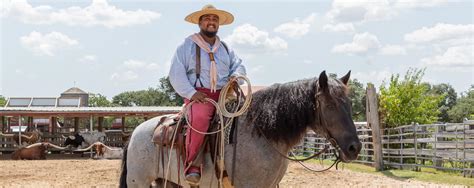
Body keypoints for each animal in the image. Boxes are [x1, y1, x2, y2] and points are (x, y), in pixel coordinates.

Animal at [120, 71, 362, 188]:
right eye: (330, 106)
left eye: (350, 104)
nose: (354, 148)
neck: (263, 133)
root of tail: (135, 134)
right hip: (139, 182)